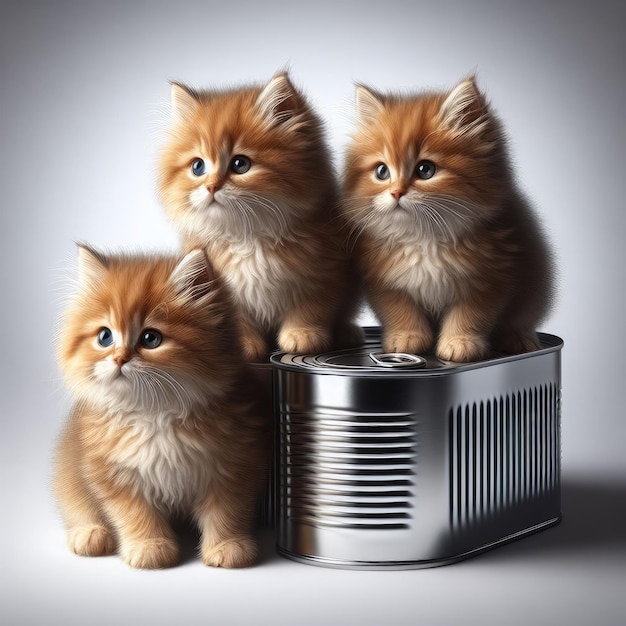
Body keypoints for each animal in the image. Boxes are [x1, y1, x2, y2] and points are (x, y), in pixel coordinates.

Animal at [53, 244, 268, 564]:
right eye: (105, 336)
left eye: (150, 338)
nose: (119, 358)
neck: (155, 414)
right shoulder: (111, 473)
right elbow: (135, 513)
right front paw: (150, 547)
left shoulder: (233, 463)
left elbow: (227, 511)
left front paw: (227, 546)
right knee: (77, 505)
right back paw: (90, 533)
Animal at [158, 70, 358, 358]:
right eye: (198, 167)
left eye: (240, 164)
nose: (211, 186)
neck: (250, 236)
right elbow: (238, 318)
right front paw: (244, 345)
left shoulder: (325, 270)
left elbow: (310, 308)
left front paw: (302, 334)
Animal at [342, 77, 552, 360]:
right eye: (382, 171)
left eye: (425, 169)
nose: (396, 192)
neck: (425, 238)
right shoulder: (384, 281)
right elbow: (400, 310)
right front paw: (407, 338)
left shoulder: (491, 276)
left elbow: (469, 315)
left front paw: (460, 343)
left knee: (520, 320)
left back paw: (517, 338)